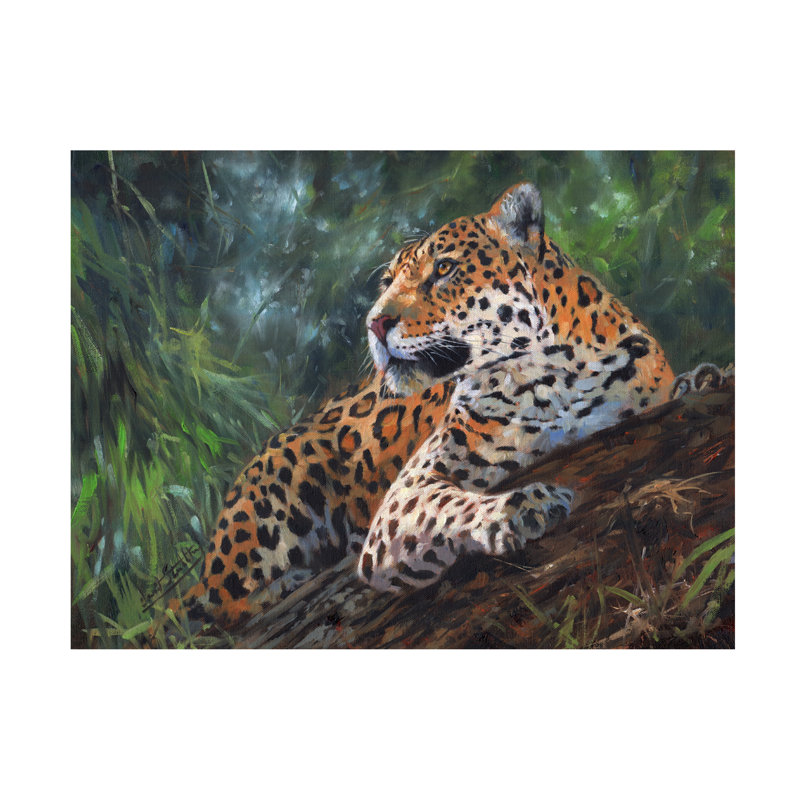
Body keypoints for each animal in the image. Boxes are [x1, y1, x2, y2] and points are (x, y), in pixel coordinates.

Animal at [161, 182, 680, 632]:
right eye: (388, 282)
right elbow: (447, 505)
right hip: (277, 492)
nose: (374, 323)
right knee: (218, 602)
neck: (552, 377)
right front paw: (521, 507)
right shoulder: (405, 495)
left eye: (444, 270)